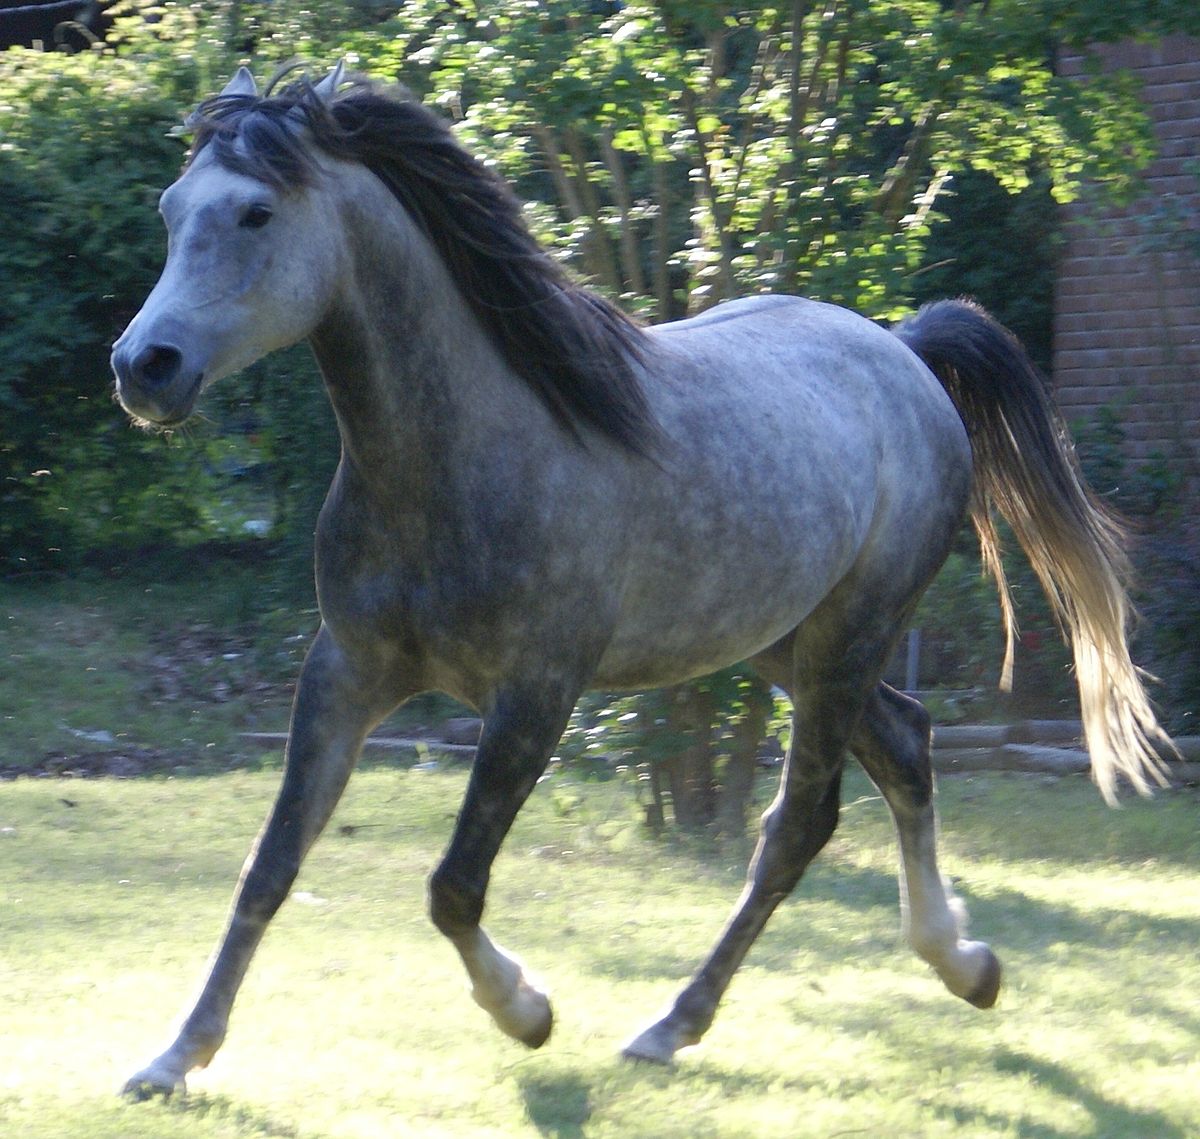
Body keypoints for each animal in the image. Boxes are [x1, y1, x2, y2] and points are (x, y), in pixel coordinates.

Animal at [108, 64, 1166, 1094]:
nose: (142, 366)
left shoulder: (535, 694)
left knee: (799, 822)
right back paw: (965, 962)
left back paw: (673, 1025)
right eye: (169, 207)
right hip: (786, 641)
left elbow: (453, 885)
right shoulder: (346, 672)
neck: (458, 459)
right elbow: (269, 865)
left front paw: (527, 1011)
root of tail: (904, 353)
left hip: (848, 637)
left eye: (256, 213)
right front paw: (174, 1056)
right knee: (905, 743)